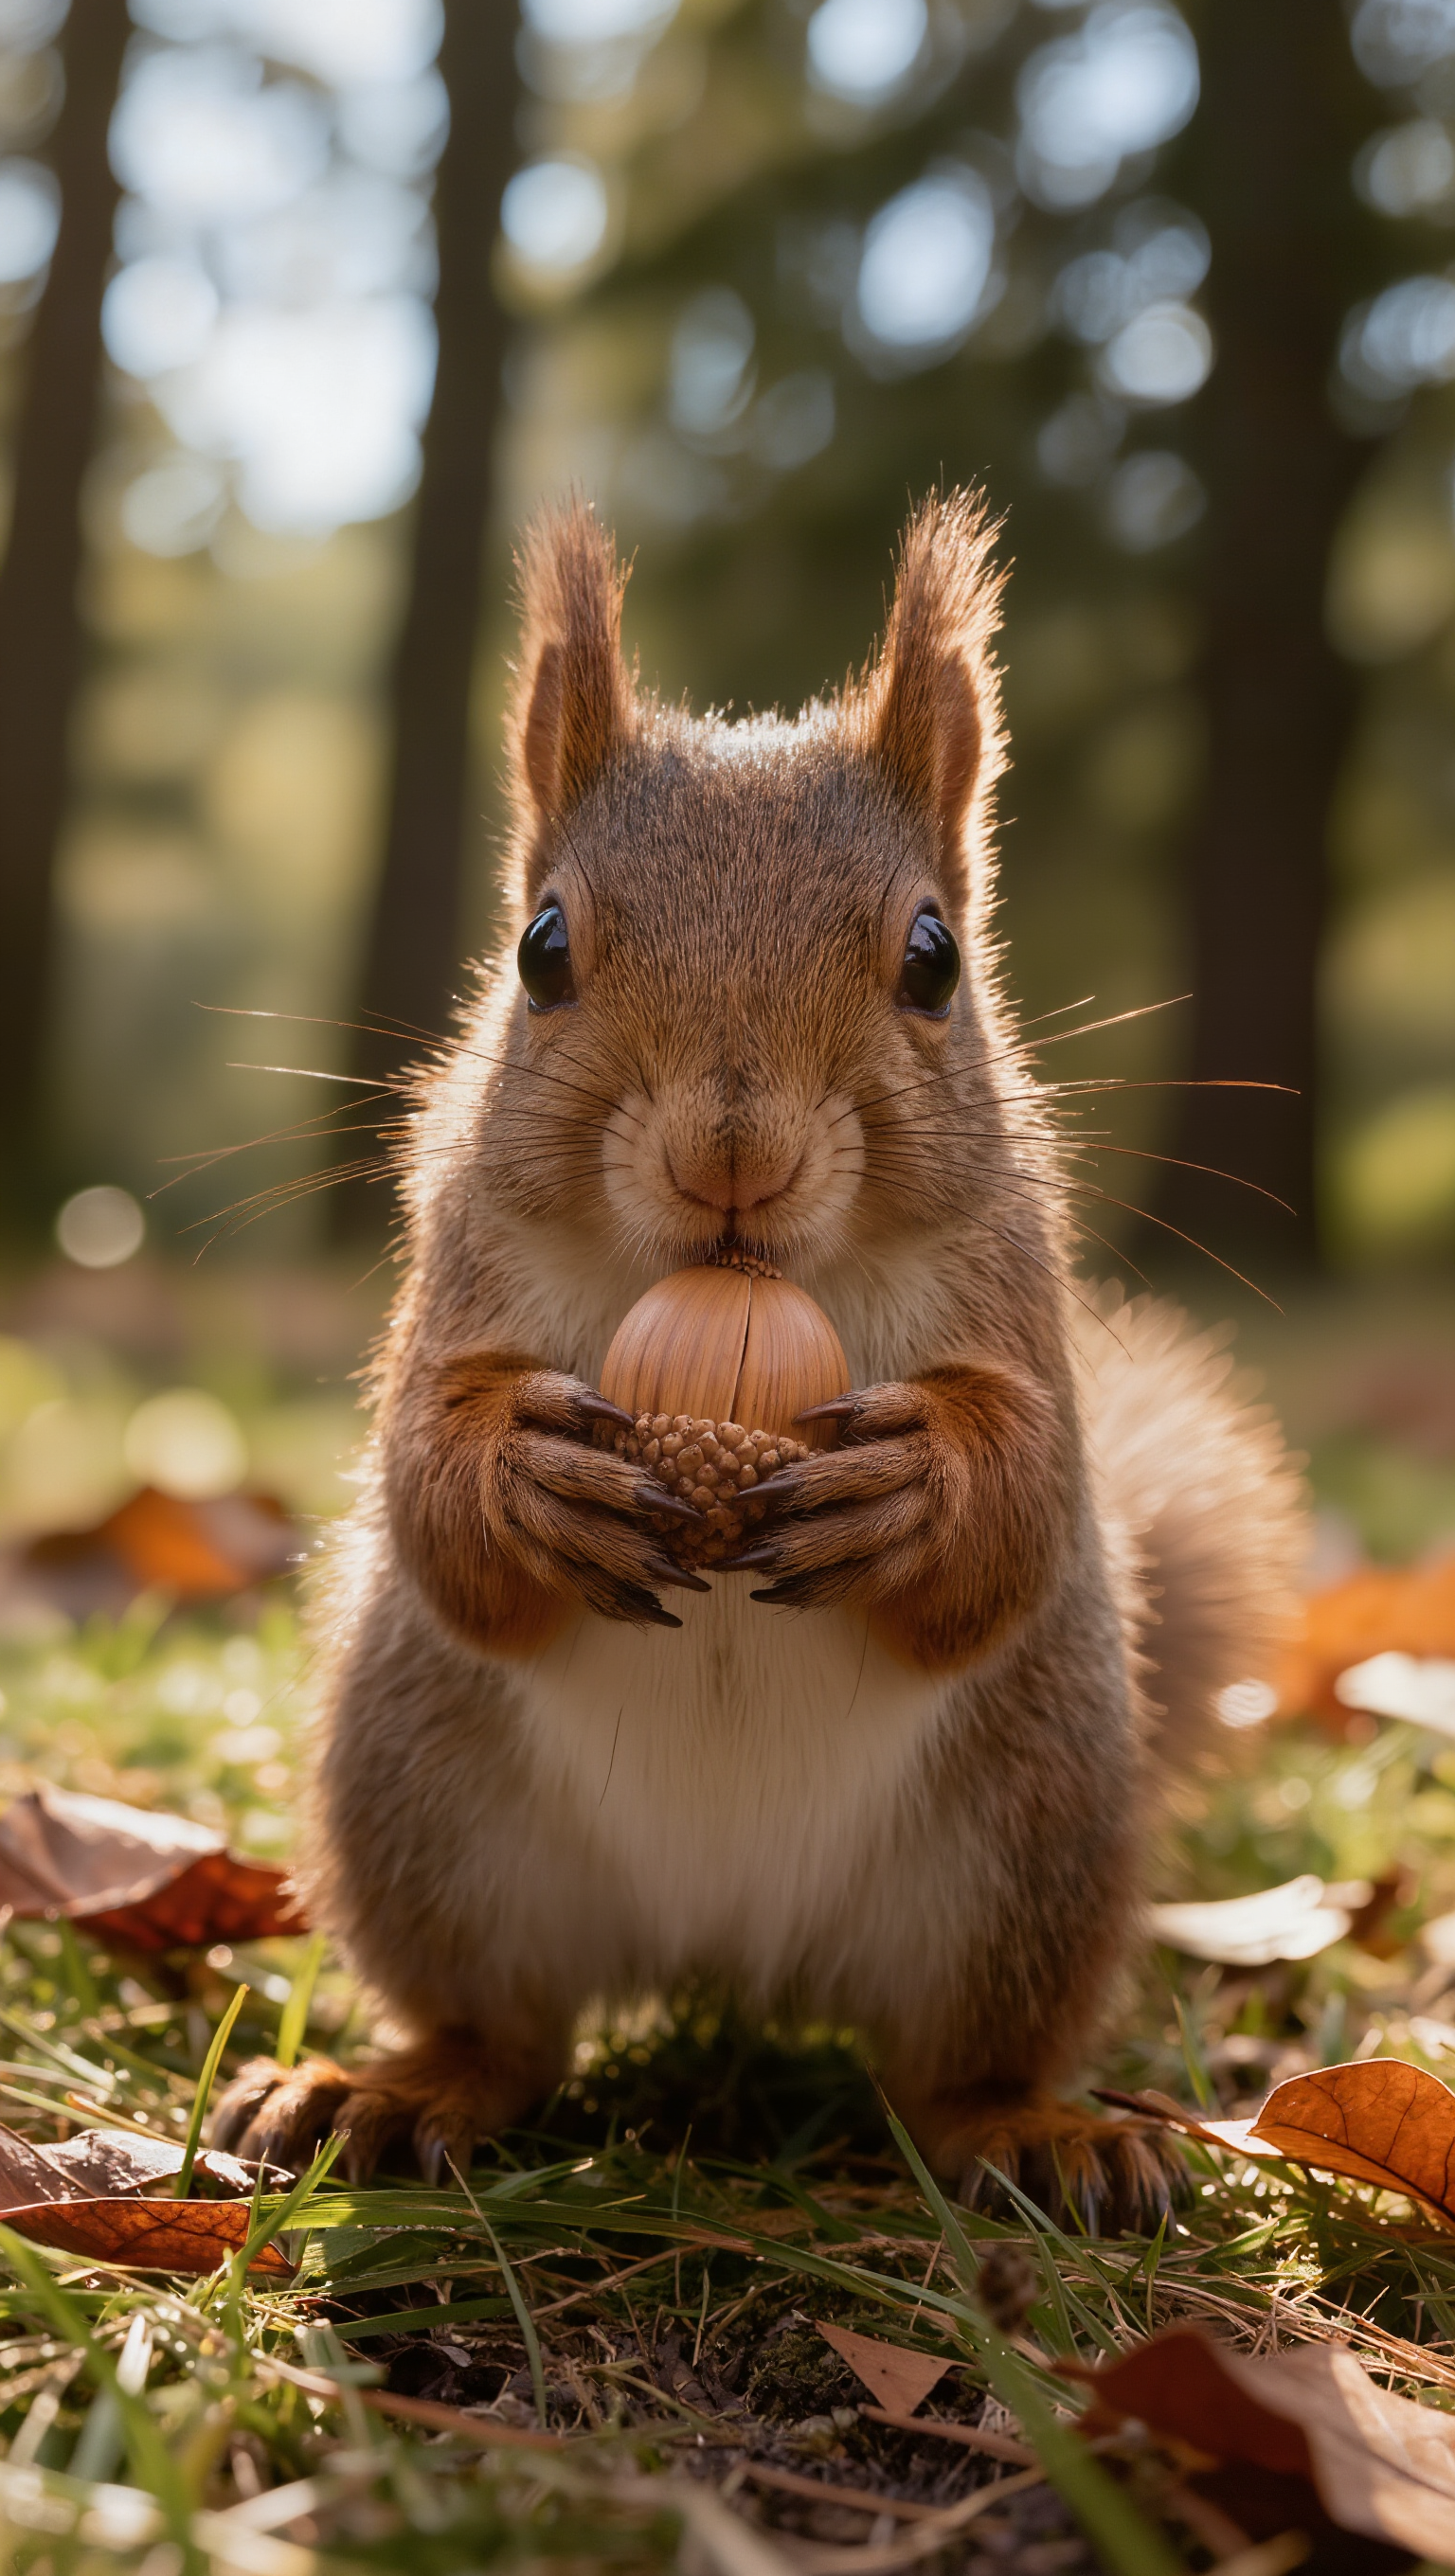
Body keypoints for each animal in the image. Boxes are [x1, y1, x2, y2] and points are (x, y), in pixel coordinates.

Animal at [214, 491, 1305, 2229]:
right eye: (538, 948)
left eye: (934, 957)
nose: (732, 1155)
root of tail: (729, 1951)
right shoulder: (452, 1270)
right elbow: (424, 1472)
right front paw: (519, 1481)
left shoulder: (1020, 1292)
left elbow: (1022, 1500)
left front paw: (916, 1490)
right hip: (427, 1818)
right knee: (501, 2031)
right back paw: (391, 2089)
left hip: (1023, 1849)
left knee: (950, 2072)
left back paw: (1035, 2134)